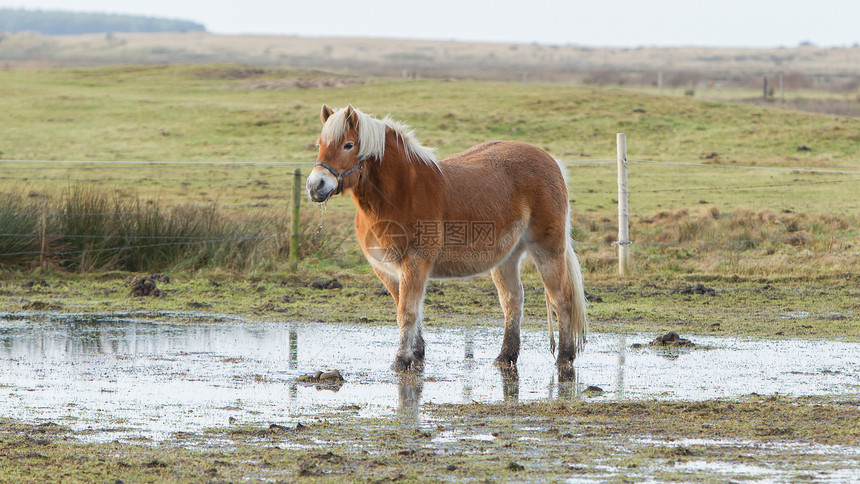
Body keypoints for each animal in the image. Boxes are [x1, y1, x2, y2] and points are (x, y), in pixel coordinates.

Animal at [306, 104, 588, 372]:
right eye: (319, 144)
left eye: (348, 145)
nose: (315, 185)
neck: (400, 193)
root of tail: (551, 161)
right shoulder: (386, 270)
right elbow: (409, 310)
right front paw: (416, 353)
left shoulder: (415, 264)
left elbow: (406, 312)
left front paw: (400, 361)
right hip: (506, 258)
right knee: (513, 301)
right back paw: (505, 357)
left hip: (547, 250)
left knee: (561, 299)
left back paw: (564, 357)